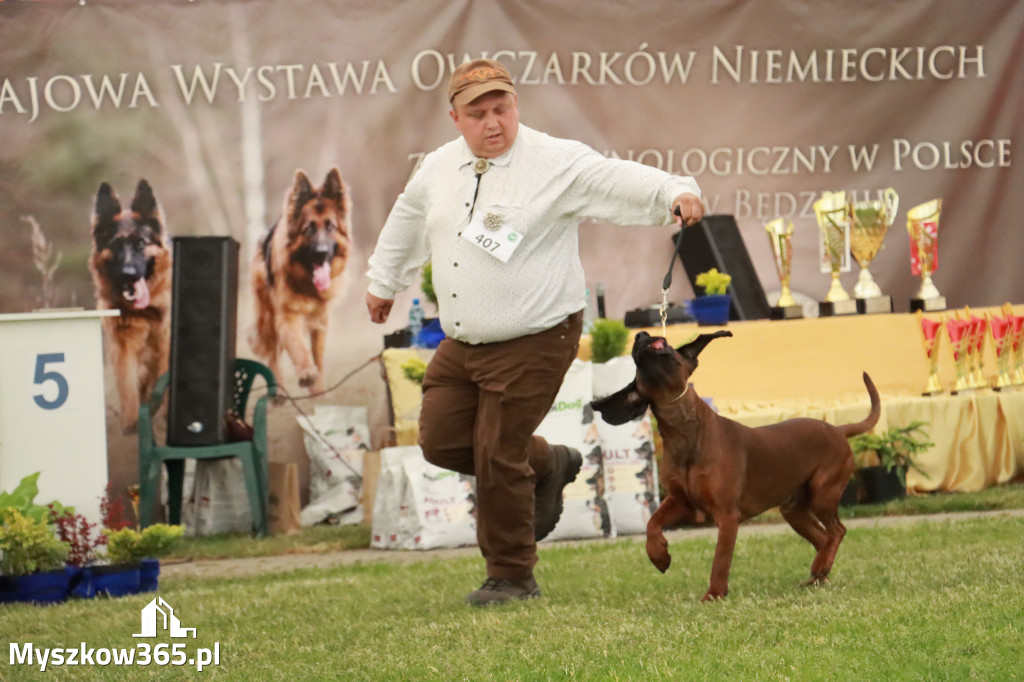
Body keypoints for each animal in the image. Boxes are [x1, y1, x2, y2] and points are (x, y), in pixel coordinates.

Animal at [91, 180, 175, 432]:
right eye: (116, 245)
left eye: (141, 243)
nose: (129, 273)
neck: (146, 310)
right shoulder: (123, 345)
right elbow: (127, 385)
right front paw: (132, 423)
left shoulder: (166, 341)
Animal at [249, 166, 350, 391]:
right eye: (309, 229)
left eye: (330, 227)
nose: (322, 253)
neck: (308, 284)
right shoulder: (286, 317)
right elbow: (298, 347)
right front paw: (306, 372)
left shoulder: (320, 322)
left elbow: (318, 359)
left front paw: (317, 389)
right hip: (268, 317)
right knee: (273, 354)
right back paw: (277, 390)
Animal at [593, 329, 880, 602]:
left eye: (666, 344)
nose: (640, 334)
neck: (687, 433)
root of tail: (838, 429)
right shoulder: (680, 500)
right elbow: (652, 523)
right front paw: (658, 555)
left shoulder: (727, 515)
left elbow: (720, 561)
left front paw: (713, 595)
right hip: (794, 511)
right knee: (824, 538)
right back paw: (819, 574)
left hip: (823, 493)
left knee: (837, 531)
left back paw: (821, 567)